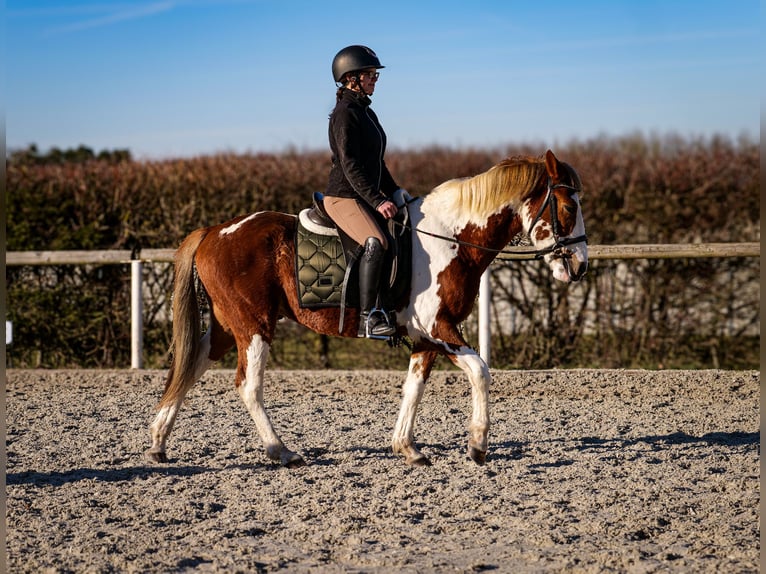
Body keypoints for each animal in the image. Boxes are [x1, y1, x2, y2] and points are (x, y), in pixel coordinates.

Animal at [147, 148, 588, 468]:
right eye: (568, 208)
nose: (580, 266)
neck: (451, 238)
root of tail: (214, 231)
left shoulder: (425, 337)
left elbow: (414, 387)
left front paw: (406, 447)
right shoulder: (440, 328)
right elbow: (480, 370)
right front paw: (478, 444)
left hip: (228, 326)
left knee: (190, 367)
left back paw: (158, 442)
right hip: (254, 325)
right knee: (247, 386)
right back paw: (282, 451)